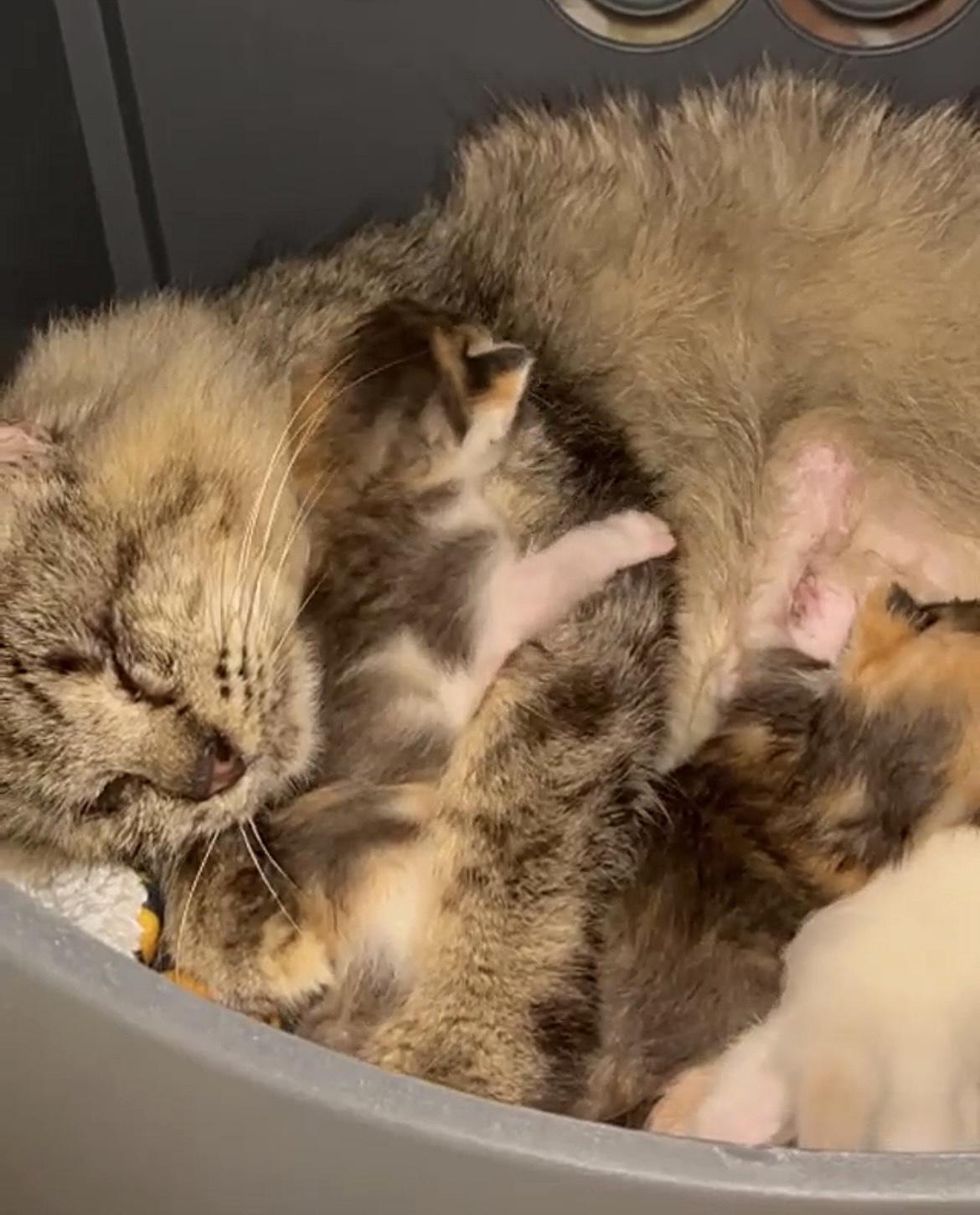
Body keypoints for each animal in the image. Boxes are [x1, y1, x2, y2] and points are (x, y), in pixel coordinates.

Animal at [1, 73, 980, 1117]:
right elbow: (217, 866)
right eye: (110, 797)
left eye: (112, 654)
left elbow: (514, 842)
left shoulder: (579, 579)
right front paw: (245, 933)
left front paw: (462, 1056)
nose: (210, 770)